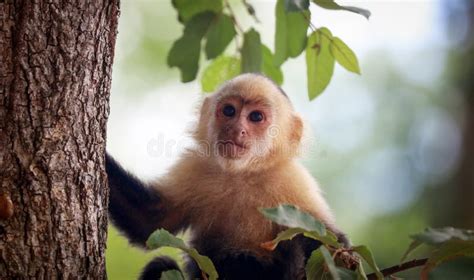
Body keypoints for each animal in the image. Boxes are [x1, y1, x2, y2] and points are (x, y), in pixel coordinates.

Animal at [106, 73, 348, 278]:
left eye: (256, 117)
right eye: (229, 111)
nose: (236, 128)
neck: (241, 174)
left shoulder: (292, 181)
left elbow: (330, 243)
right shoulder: (196, 166)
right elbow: (151, 220)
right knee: (161, 266)